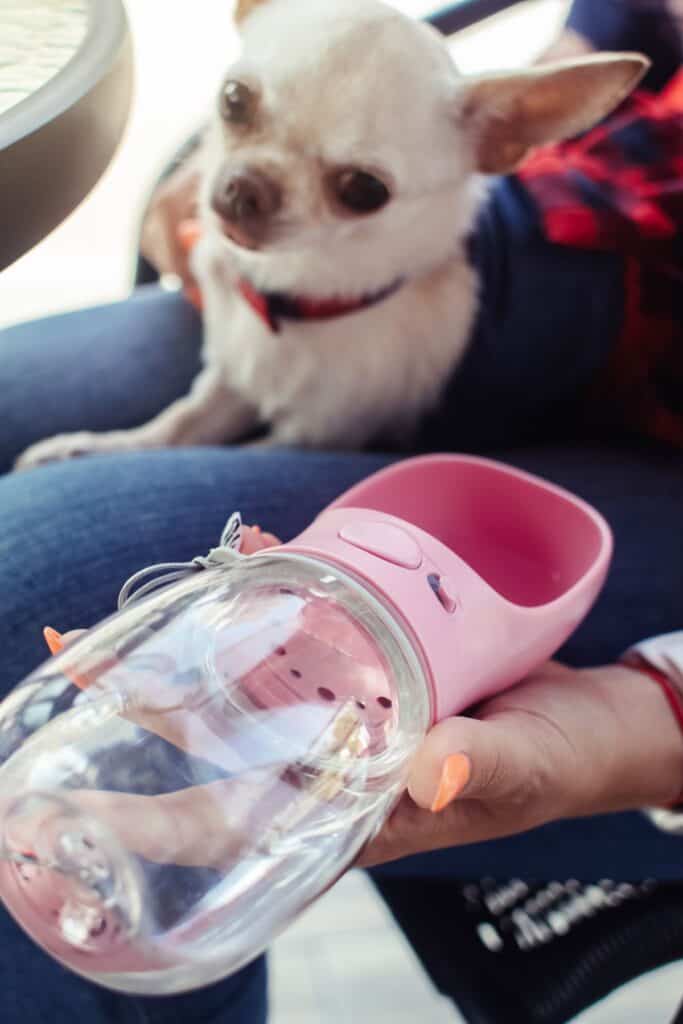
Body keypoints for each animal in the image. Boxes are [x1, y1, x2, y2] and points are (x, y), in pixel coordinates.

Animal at [15, 1, 647, 468]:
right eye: (234, 99)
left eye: (364, 190)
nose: (247, 188)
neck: (298, 298)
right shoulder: (231, 380)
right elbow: (176, 425)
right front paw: (95, 447)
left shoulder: (315, 435)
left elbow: (232, 447)